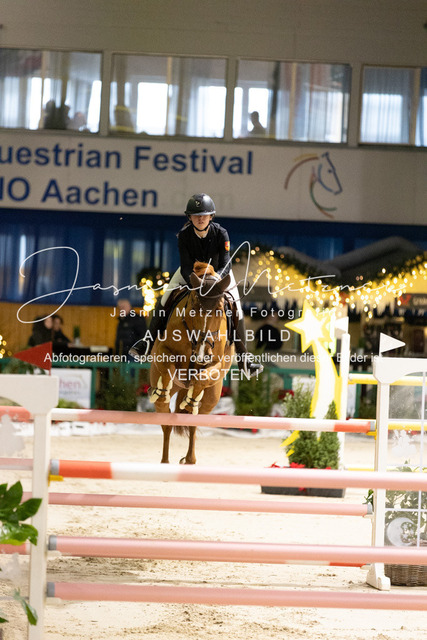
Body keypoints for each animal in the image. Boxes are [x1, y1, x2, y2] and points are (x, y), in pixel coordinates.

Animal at [149, 262, 233, 465]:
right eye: (194, 307)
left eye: (219, 309)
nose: (202, 354)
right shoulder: (162, 350)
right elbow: (169, 366)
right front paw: (163, 391)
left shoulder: (217, 364)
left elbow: (201, 378)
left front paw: (190, 400)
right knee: (166, 420)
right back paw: (165, 462)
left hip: (212, 399)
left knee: (194, 423)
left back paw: (189, 458)